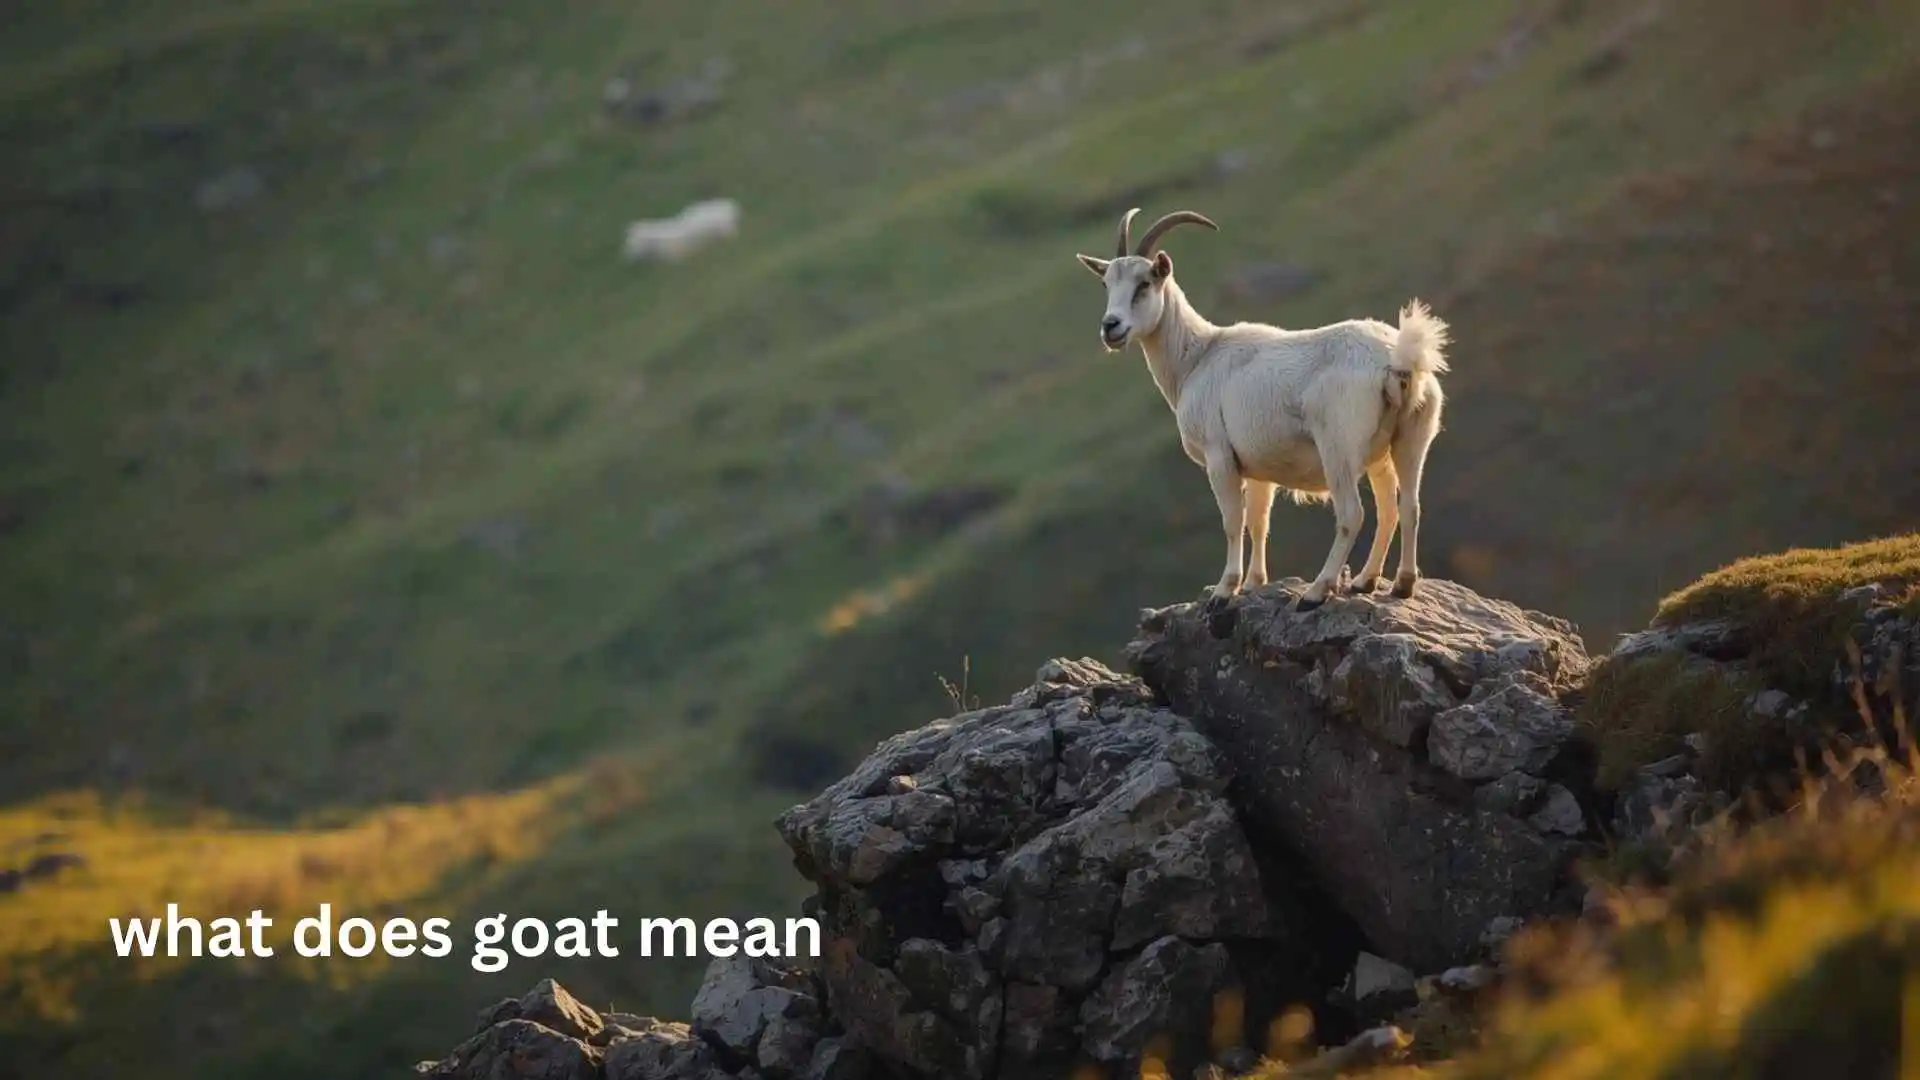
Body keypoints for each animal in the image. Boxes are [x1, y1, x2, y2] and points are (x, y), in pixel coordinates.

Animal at [1075, 207, 1450, 611]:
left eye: (1145, 282)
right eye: (1106, 284)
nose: (1111, 327)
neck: (1197, 357)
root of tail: (1398, 359)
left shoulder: (1219, 455)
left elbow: (1232, 521)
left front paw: (1225, 589)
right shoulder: (1256, 466)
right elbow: (1258, 521)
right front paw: (1254, 582)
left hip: (1339, 445)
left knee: (1353, 512)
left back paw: (1317, 591)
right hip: (1406, 440)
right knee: (1403, 506)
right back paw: (1389, 583)